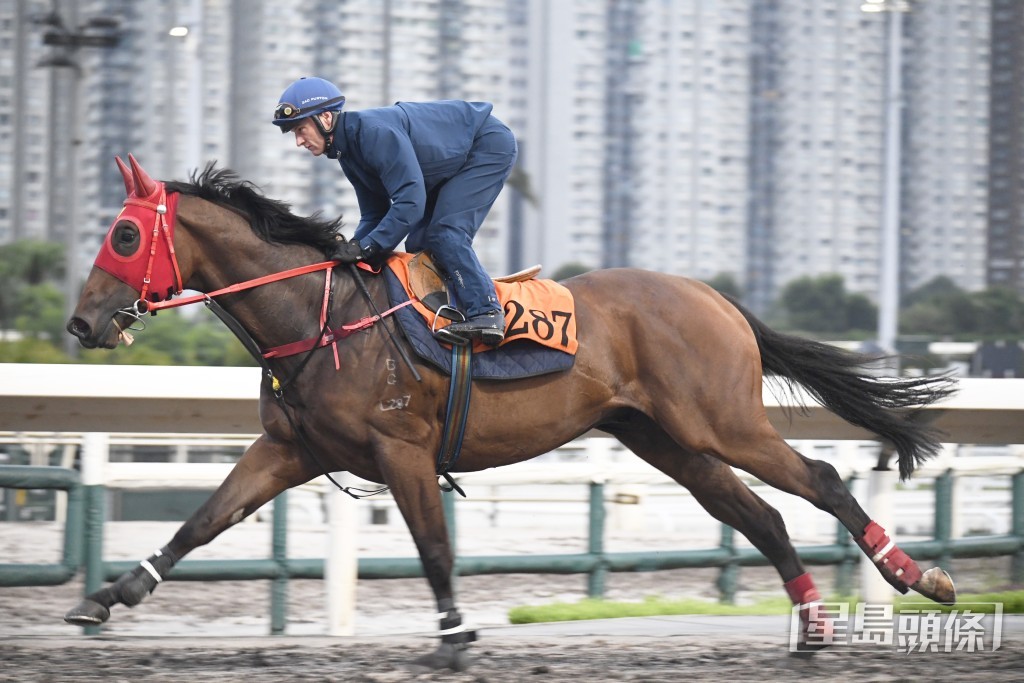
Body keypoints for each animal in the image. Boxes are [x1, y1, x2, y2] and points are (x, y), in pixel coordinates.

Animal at [65, 155, 956, 670]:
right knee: (763, 516)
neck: (319, 318)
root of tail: (714, 296)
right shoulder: (291, 449)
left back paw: (918, 575)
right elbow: (201, 521)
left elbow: (432, 546)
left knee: (822, 477)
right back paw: (812, 626)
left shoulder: (402, 448)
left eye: (122, 235)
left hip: (721, 421)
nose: (81, 323)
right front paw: (108, 596)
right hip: (667, 440)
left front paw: (456, 634)